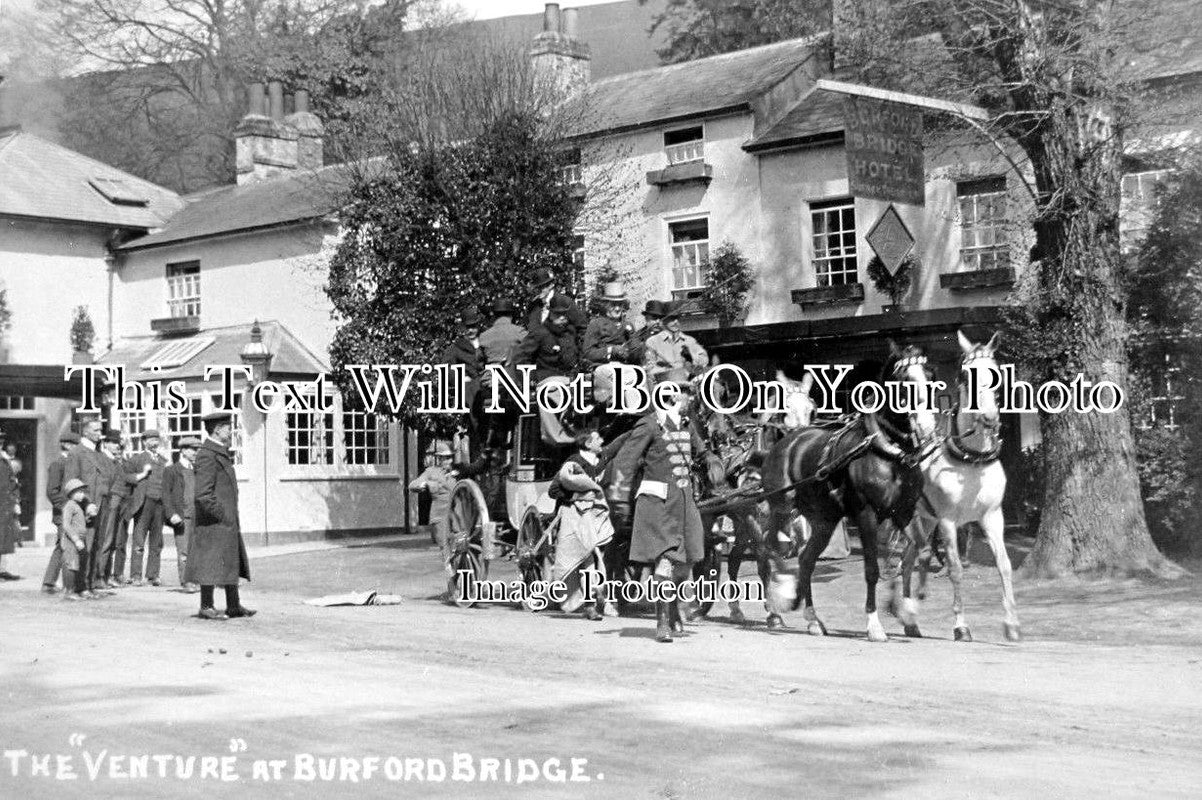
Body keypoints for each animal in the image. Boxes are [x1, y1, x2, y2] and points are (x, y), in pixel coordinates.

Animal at [759, 343, 937, 643]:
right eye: (904, 382)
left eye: (930, 376)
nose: (927, 426)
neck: (888, 452)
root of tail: (787, 441)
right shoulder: (866, 514)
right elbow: (872, 569)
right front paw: (874, 625)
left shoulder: (904, 511)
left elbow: (917, 552)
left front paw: (906, 610)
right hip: (782, 507)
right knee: (768, 544)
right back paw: (780, 598)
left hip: (824, 520)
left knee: (806, 559)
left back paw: (812, 619)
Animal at [899, 329, 1019, 643]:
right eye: (965, 375)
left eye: (996, 372)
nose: (989, 417)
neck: (971, 460)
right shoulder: (948, 521)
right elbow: (955, 569)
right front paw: (961, 626)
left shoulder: (992, 517)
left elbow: (1004, 565)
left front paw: (1012, 624)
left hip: (926, 519)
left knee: (911, 557)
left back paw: (910, 618)